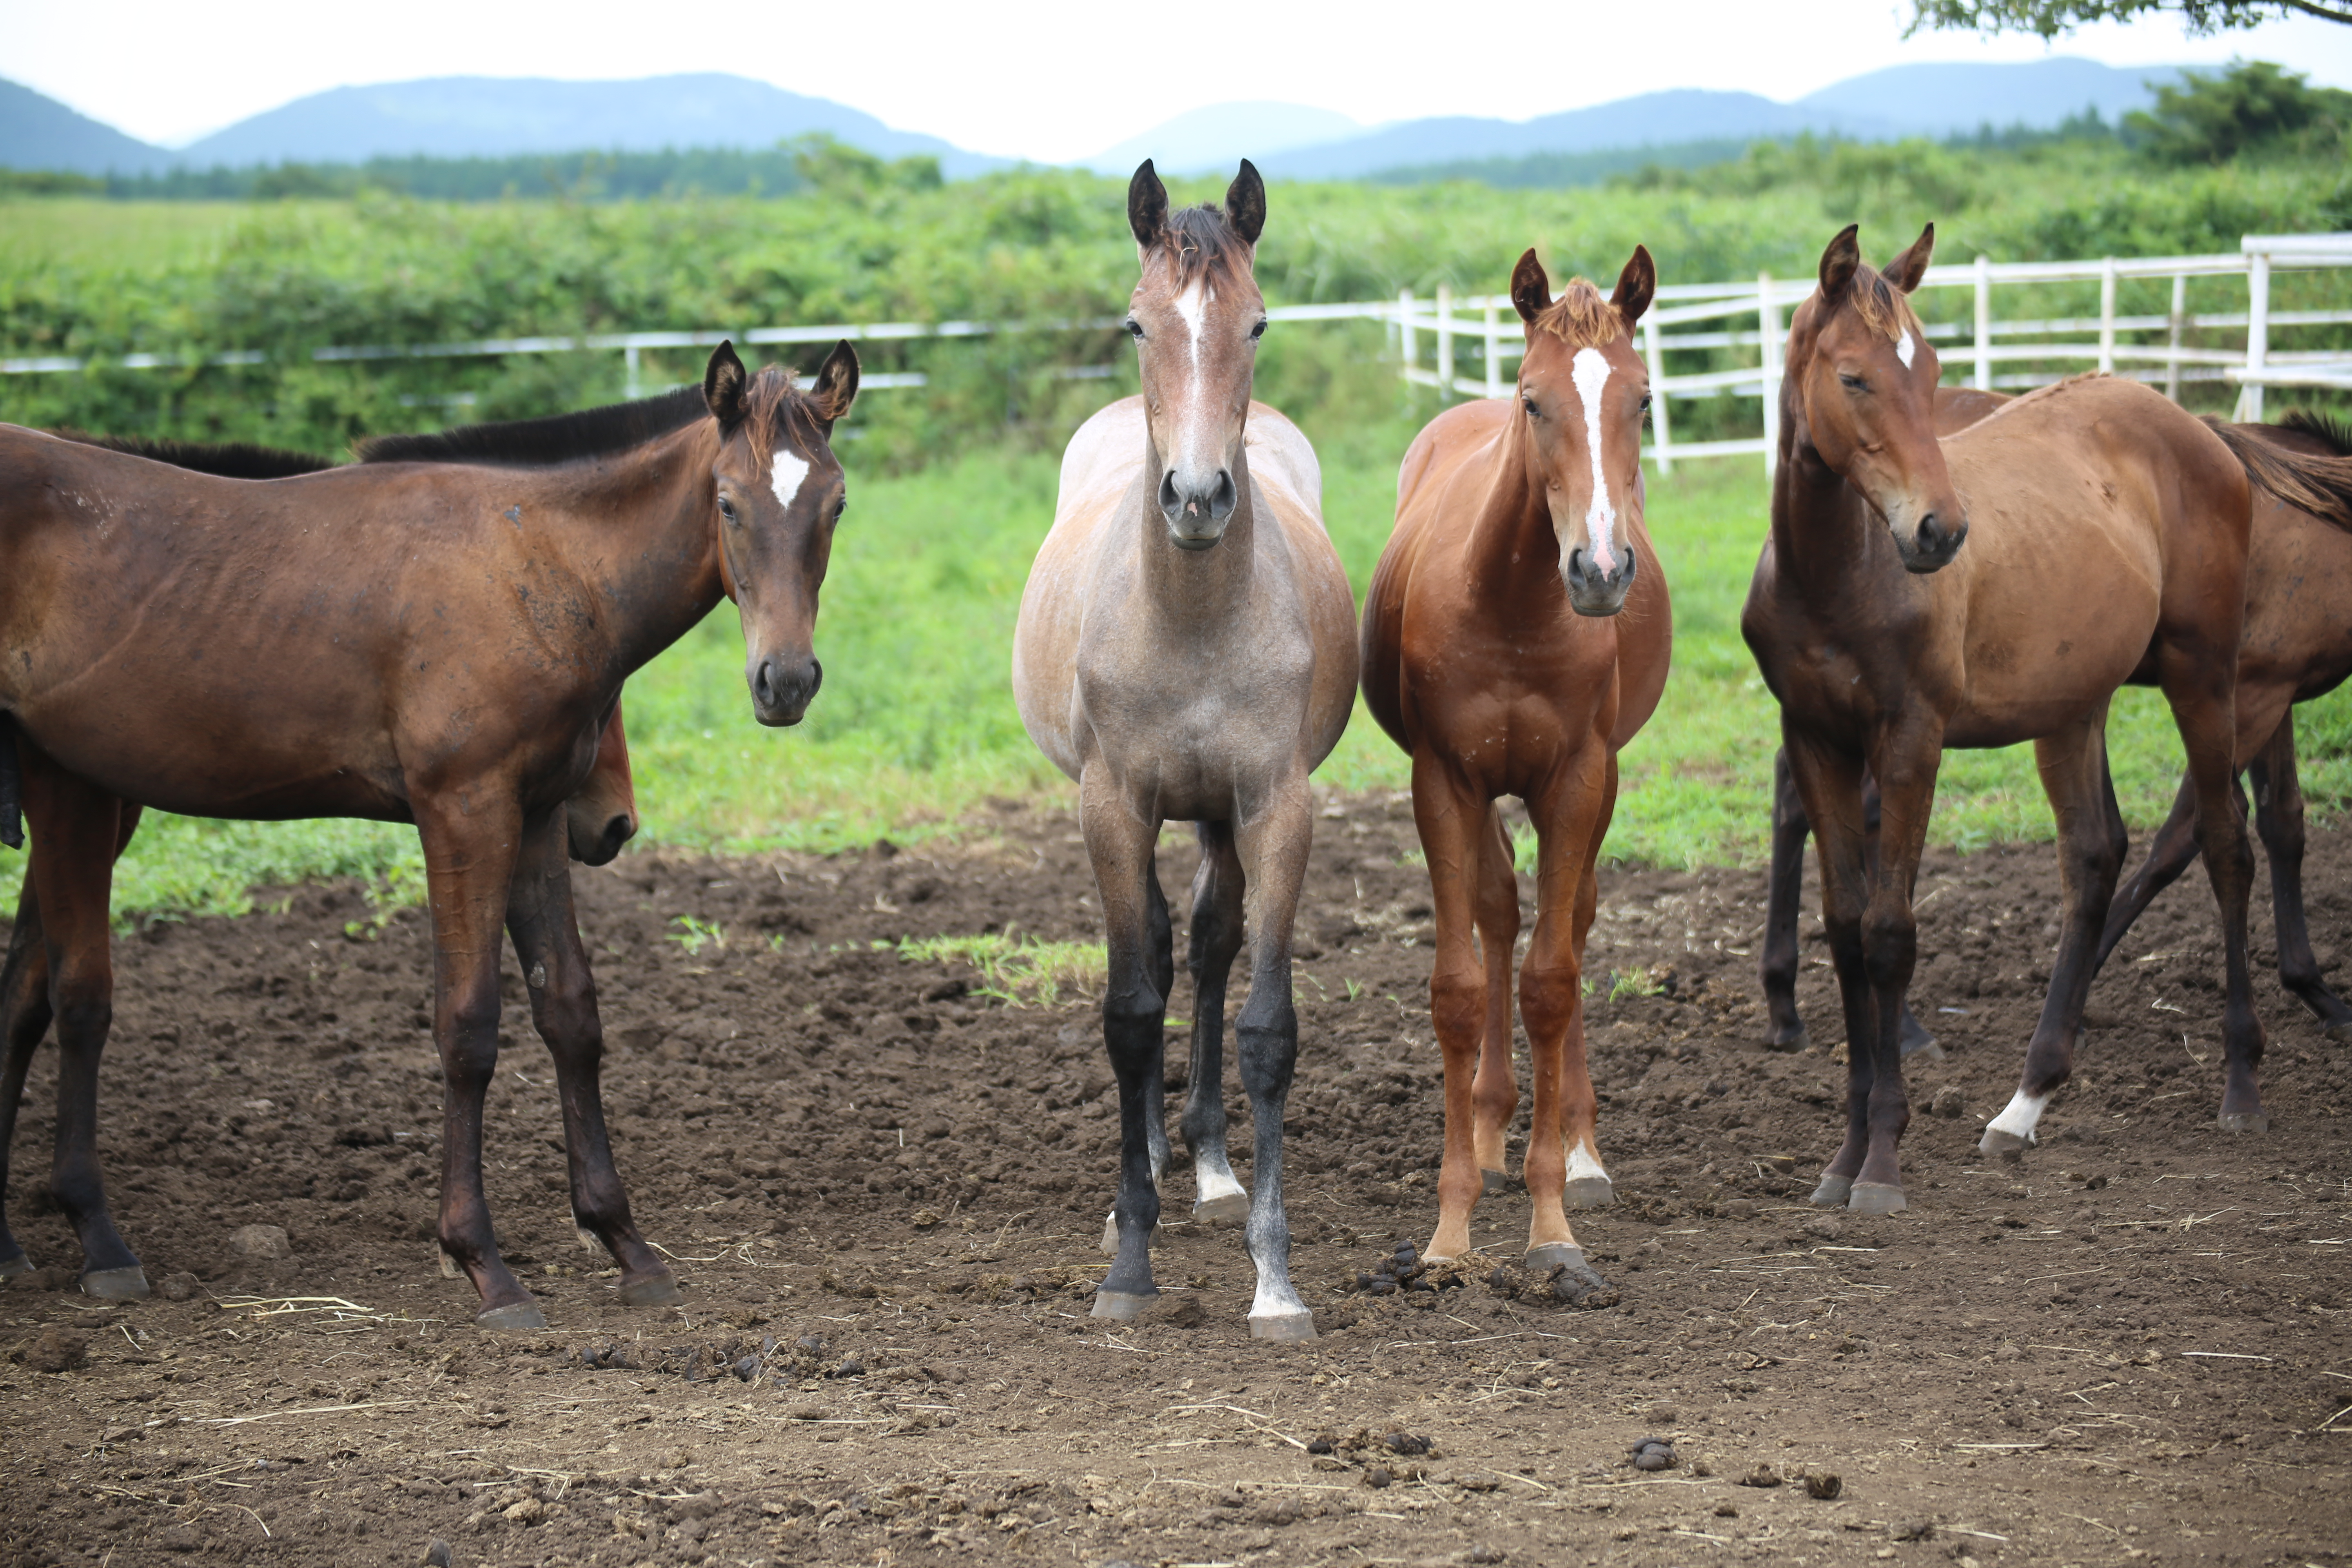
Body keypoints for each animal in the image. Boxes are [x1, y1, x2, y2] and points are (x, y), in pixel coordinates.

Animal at [0, 345, 861, 1326]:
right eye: (727, 503)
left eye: (836, 503)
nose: (785, 681)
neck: (531, 561)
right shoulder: (464, 810)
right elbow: (469, 1026)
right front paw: (482, 1262)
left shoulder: (533, 820)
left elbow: (570, 1014)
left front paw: (625, 1244)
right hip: (73, 790)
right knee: (72, 995)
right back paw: (98, 1241)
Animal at [1011, 162, 1364, 1354]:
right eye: (1137, 322)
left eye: (1254, 323)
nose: (1200, 497)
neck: (1192, 615)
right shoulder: (1111, 807)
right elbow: (1128, 1010)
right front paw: (1128, 1260)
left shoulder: (1272, 806)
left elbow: (1264, 1026)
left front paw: (1274, 1278)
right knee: (1166, 957)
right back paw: (1155, 1167)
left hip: (1213, 810)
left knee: (1206, 950)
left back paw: (1204, 1162)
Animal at [1364, 248, 1675, 1288]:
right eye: (1533, 402)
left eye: (1641, 399)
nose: (1599, 570)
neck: (1508, 603)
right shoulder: (1443, 780)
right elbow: (1461, 989)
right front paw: (1450, 1229)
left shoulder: (1576, 779)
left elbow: (1551, 977)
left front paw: (1552, 1226)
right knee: (1500, 911)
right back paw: (1491, 1129)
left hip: (1596, 782)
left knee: (1565, 924)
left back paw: (1578, 1152)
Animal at [1740, 227, 2267, 1222]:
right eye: (1855, 377)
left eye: (1933, 371)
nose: (1940, 532)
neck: (1839, 575)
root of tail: (2199, 430)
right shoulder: (1816, 741)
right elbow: (1846, 926)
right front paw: (1844, 1153)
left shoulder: (1911, 741)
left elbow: (1890, 934)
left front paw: (1883, 1160)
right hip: (2075, 707)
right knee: (2094, 856)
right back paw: (2025, 1103)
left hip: (2203, 676)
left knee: (2226, 846)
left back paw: (2241, 1084)